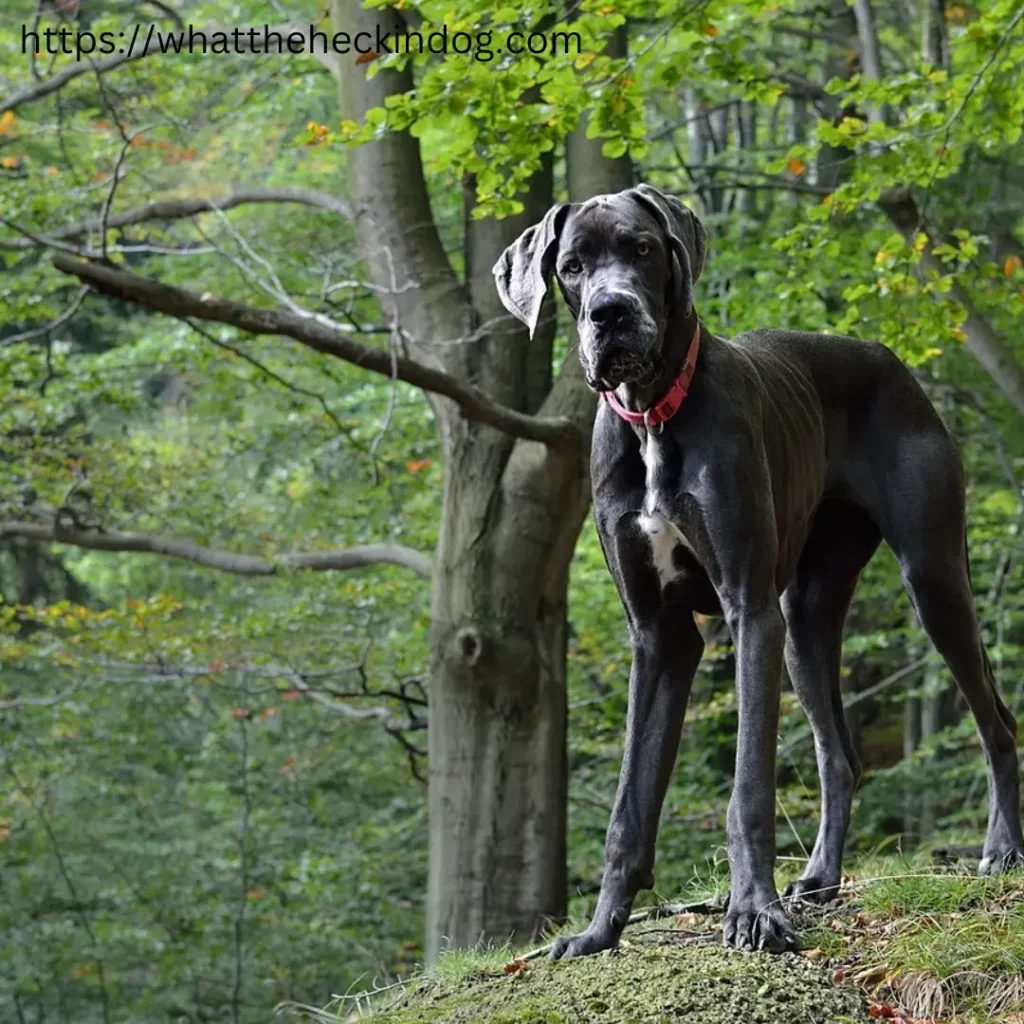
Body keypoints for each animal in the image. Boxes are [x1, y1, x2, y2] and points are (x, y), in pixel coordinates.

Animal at [491, 184, 1019, 958]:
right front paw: (598, 931)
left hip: (931, 579)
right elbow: (628, 807)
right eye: (571, 266)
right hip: (804, 620)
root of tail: (887, 358)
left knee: (995, 720)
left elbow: (747, 791)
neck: (653, 417)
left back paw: (1002, 848)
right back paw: (822, 878)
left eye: (641, 248)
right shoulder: (660, 637)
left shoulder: (748, 610)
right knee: (840, 754)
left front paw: (752, 912)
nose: (610, 312)